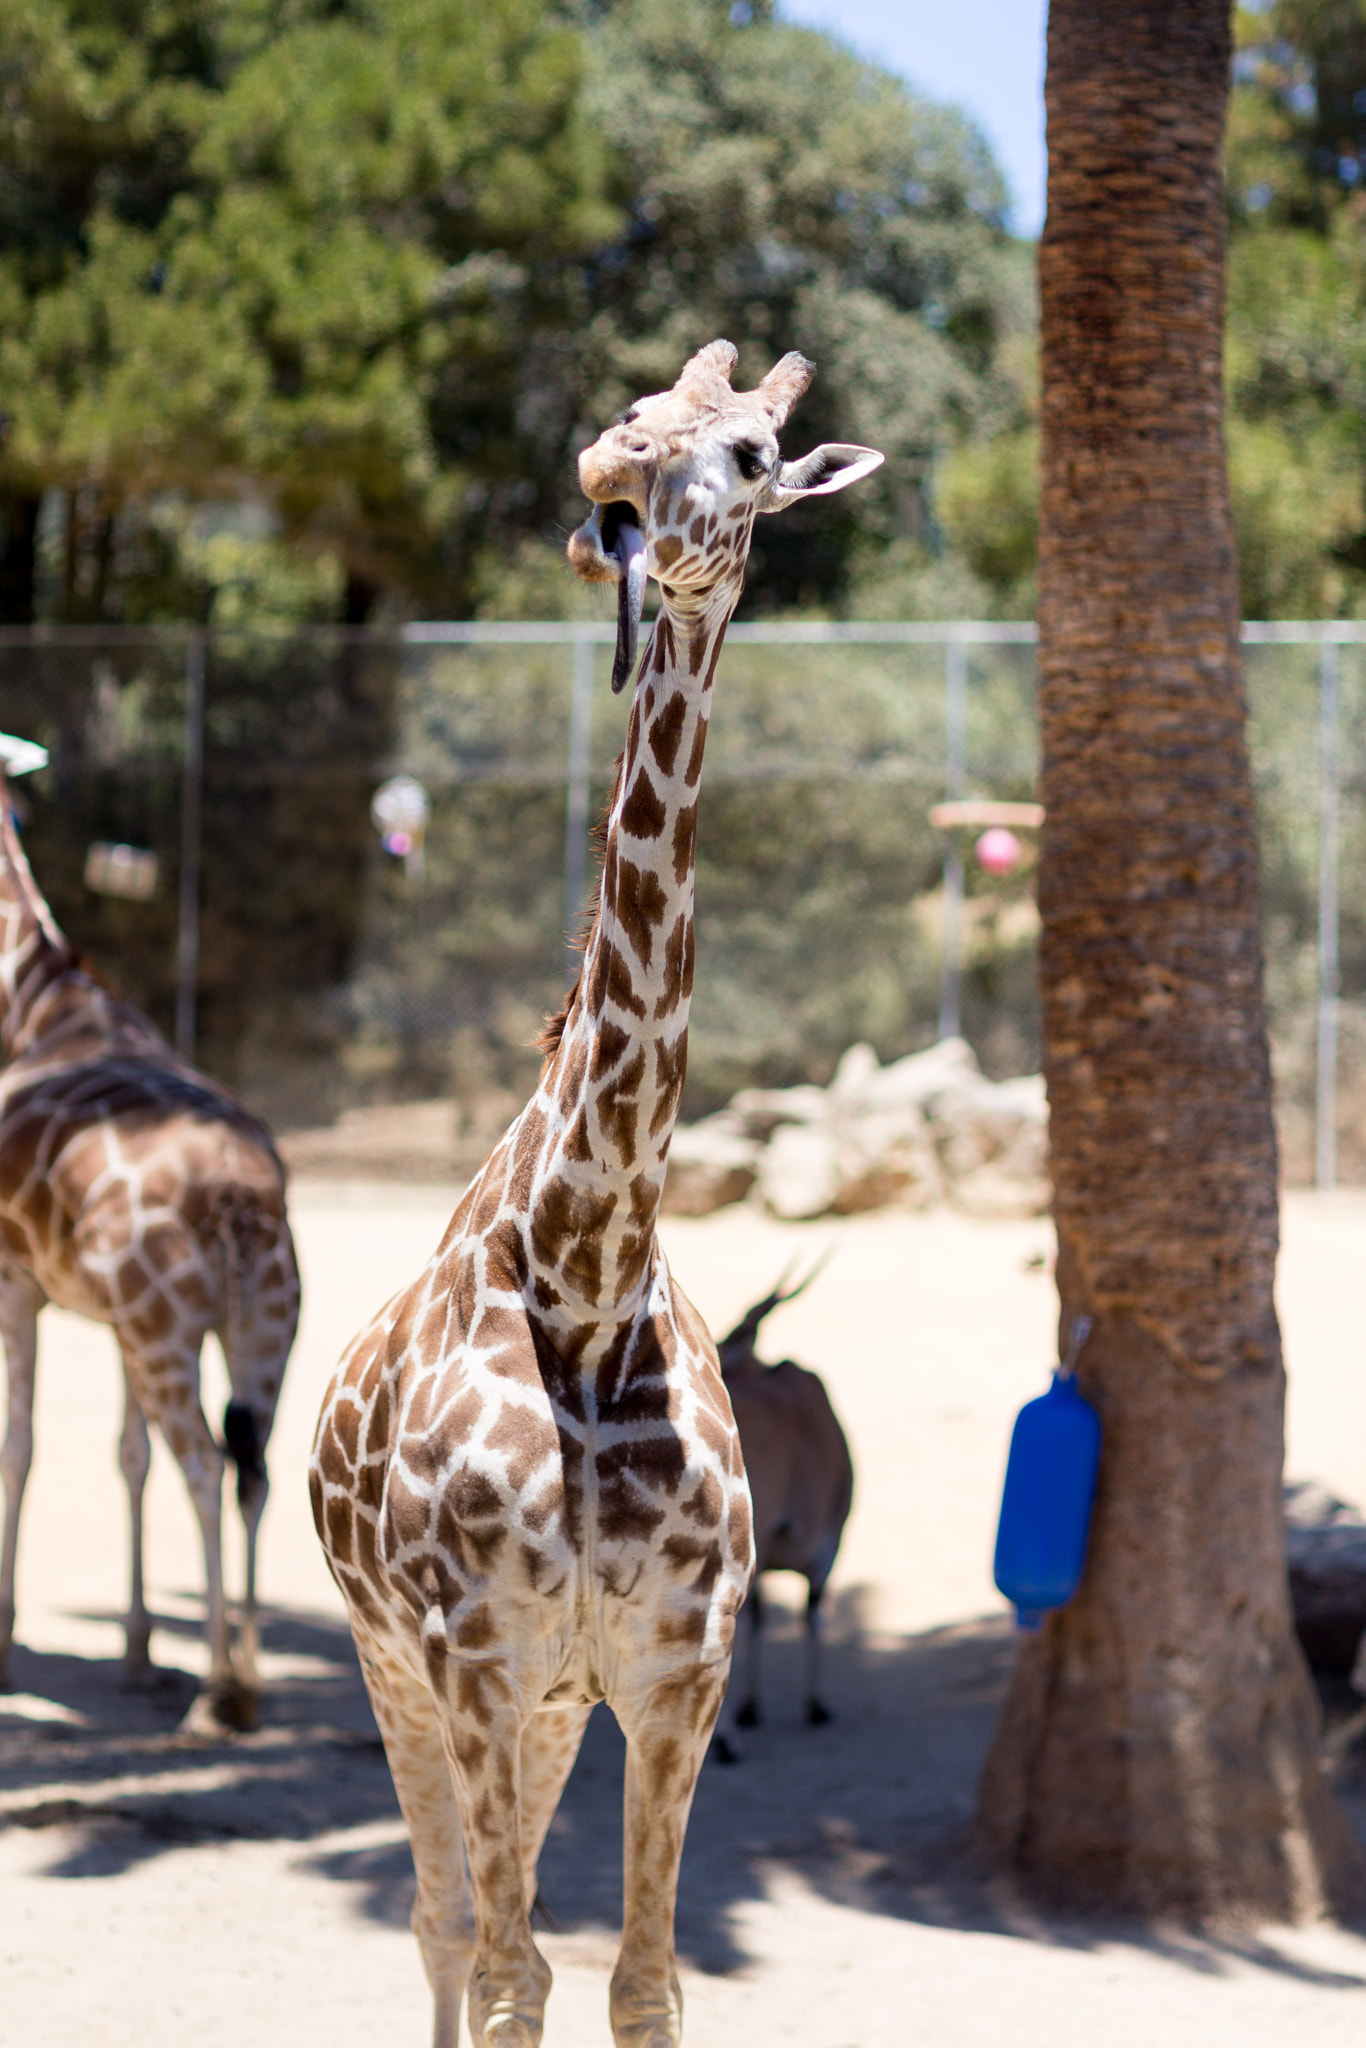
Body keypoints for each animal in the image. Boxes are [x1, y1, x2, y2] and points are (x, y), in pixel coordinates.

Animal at [0, 753, 301, 1728]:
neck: (32, 1006)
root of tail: (238, 1198)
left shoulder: (18, 1284)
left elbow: (21, 1446)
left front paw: (8, 1643)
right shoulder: (115, 1321)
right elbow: (125, 1460)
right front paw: (134, 1652)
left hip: (169, 1331)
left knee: (204, 1464)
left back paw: (215, 1692)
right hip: (255, 1328)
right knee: (255, 1470)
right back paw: (246, 1674)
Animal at [311, 339, 888, 2048]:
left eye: (752, 452)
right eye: (640, 407)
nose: (607, 480)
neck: (584, 1263)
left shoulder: (671, 1671)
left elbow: (642, 1985)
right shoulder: (474, 1655)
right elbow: (511, 1975)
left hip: (556, 1708)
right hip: (395, 1667)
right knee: (444, 1928)